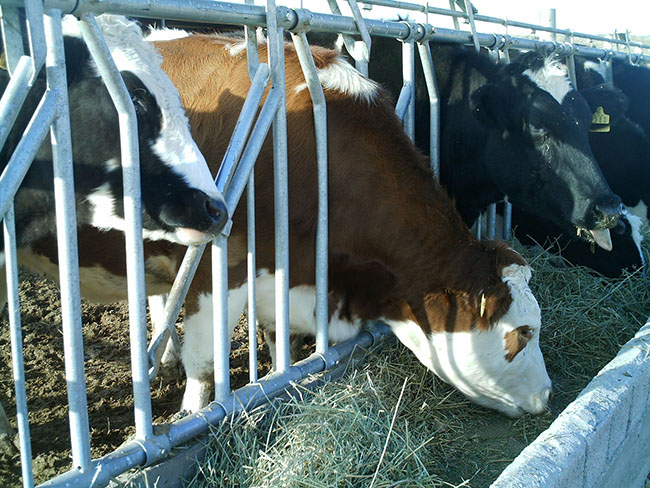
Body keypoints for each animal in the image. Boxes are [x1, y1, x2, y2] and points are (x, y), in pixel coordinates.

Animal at [20, 32, 548, 418]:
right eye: (525, 332)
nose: (547, 396)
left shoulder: (285, 278)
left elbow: (283, 350)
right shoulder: (218, 266)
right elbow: (206, 363)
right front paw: (191, 415)